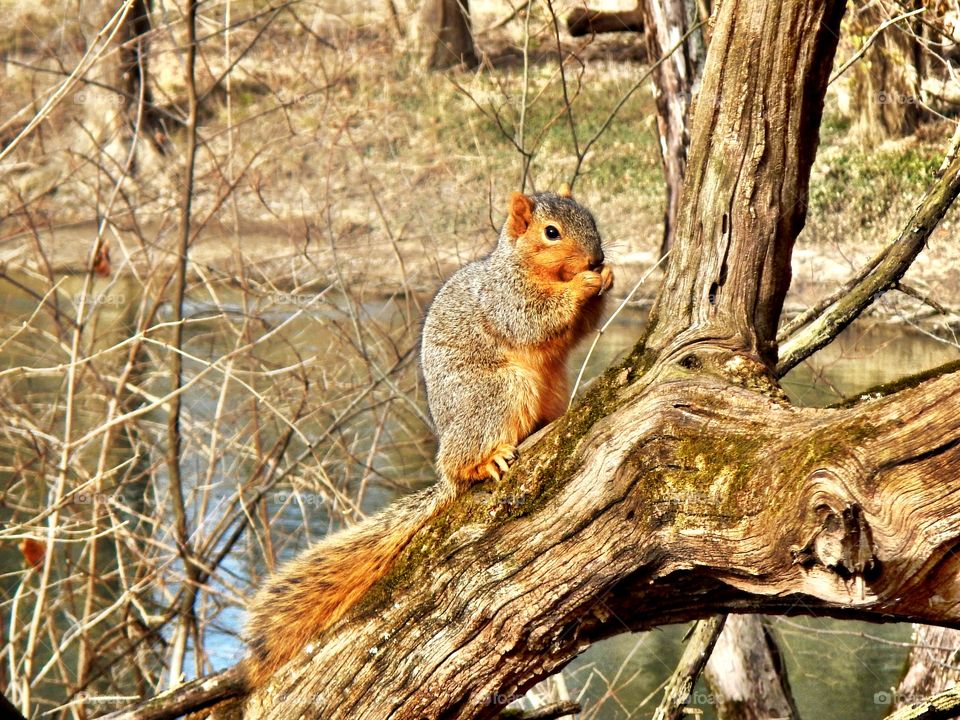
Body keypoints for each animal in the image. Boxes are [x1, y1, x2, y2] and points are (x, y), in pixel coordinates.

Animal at [243, 187, 613, 686]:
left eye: (591, 218)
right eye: (551, 232)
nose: (596, 257)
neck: (529, 266)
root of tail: (446, 476)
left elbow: (578, 330)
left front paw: (607, 276)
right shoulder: (504, 297)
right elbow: (534, 317)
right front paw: (583, 285)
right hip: (498, 393)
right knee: (467, 458)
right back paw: (485, 461)